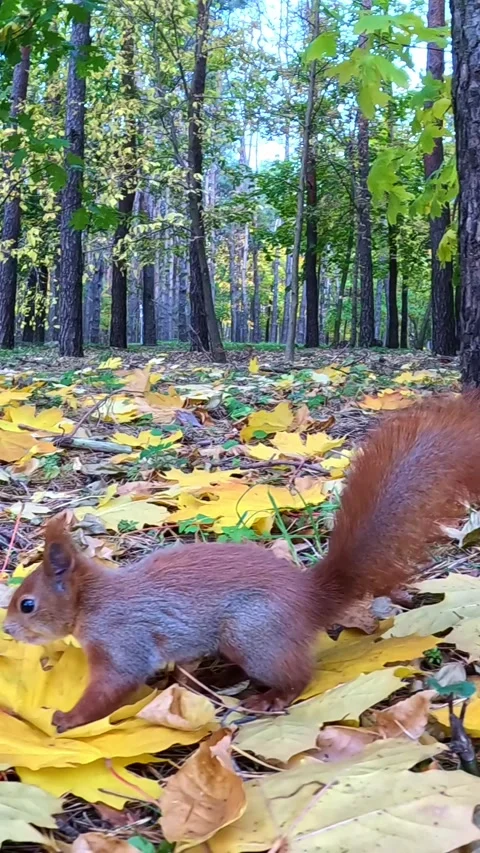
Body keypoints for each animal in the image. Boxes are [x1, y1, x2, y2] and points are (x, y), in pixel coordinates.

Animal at [5, 391, 480, 733]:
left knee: (298, 674)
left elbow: (114, 685)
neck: (93, 601)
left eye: (28, 604)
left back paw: (268, 697)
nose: (8, 630)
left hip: (252, 635)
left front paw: (68, 718)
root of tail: (309, 598)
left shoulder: (124, 638)